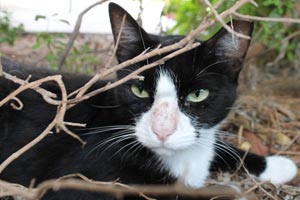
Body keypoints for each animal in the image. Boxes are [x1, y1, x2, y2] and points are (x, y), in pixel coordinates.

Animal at [0, 2, 296, 200]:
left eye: (197, 94)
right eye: (139, 90)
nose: (162, 131)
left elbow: (219, 148)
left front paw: (277, 164)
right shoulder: (75, 179)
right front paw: (228, 190)